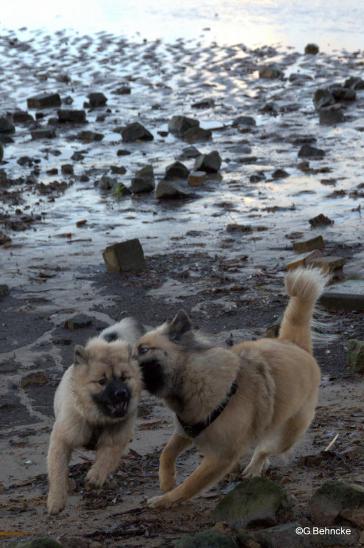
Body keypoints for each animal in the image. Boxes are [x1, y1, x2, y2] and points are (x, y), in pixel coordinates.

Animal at [45, 322, 142, 512]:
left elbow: (107, 457)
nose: (121, 393)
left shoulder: (116, 438)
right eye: (102, 381)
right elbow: (58, 470)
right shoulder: (62, 439)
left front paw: (95, 477)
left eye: (124, 378)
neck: (98, 419)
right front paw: (56, 500)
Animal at [136, 268, 328, 508]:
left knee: (264, 448)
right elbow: (167, 453)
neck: (193, 376)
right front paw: (166, 480)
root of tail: (294, 344)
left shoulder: (221, 456)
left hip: (287, 434)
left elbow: (190, 484)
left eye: (143, 349)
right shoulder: (186, 430)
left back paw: (254, 467)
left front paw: (166, 500)